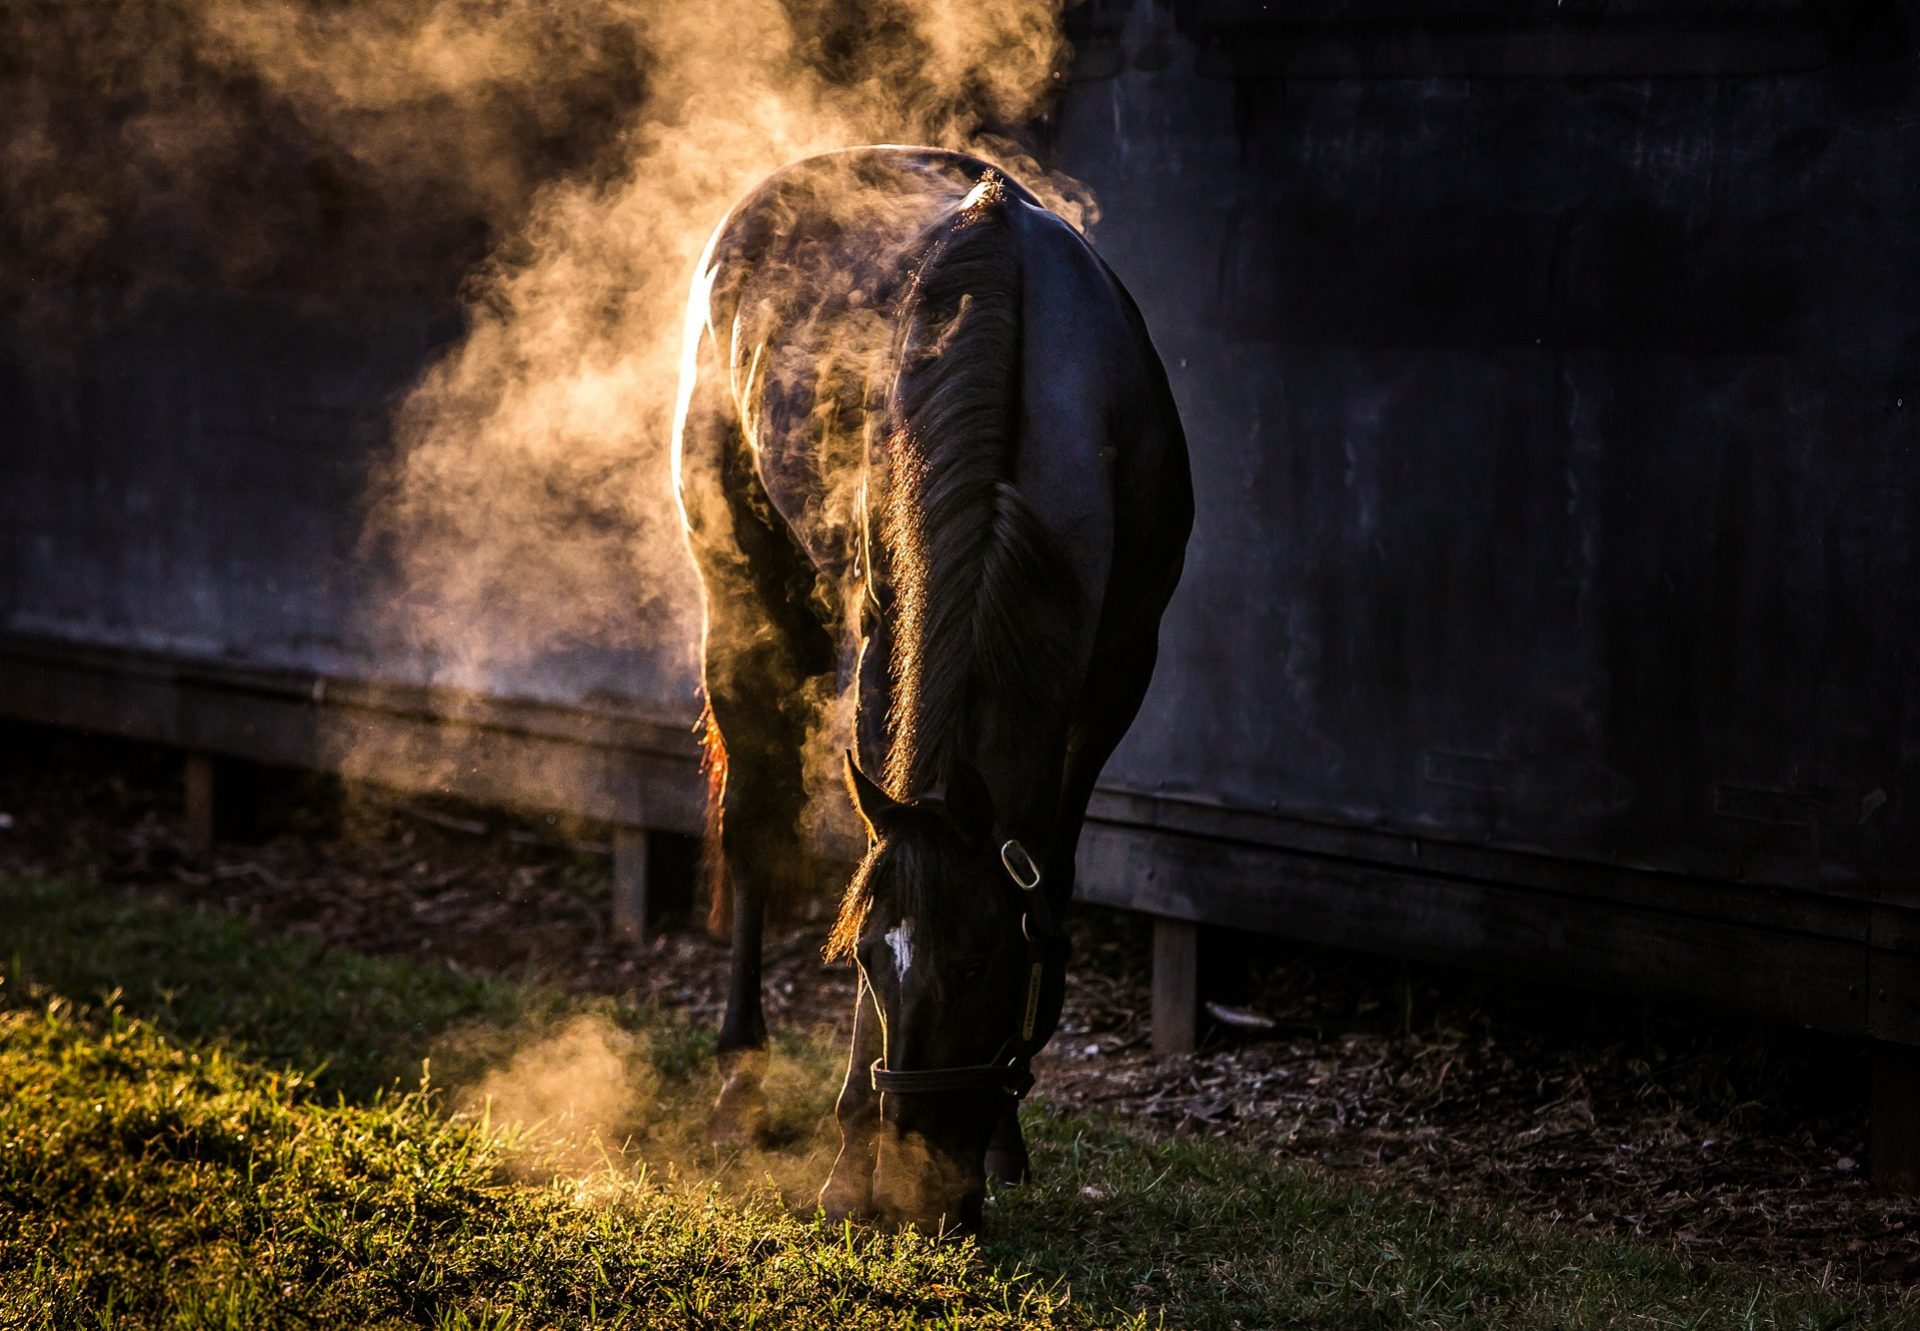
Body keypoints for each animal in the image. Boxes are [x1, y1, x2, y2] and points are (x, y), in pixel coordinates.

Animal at [672, 140, 1182, 1229]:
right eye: (865, 959)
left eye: (985, 964)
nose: (914, 1198)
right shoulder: (887, 654)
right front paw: (849, 1155)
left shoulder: (1114, 680)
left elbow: (1051, 878)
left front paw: (1002, 1136)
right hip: (743, 597)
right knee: (755, 824)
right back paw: (740, 1082)